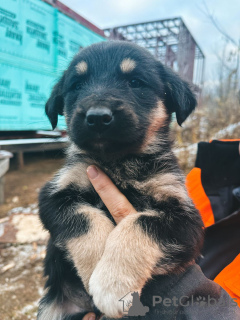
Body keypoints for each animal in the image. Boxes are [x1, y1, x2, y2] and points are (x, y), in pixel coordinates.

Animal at [37, 41, 204, 318]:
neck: (119, 162)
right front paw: (97, 265)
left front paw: (112, 283)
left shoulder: (186, 220)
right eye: (77, 85)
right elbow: (85, 218)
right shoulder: (54, 194)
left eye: (135, 82)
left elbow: (140, 223)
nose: (97, 117)